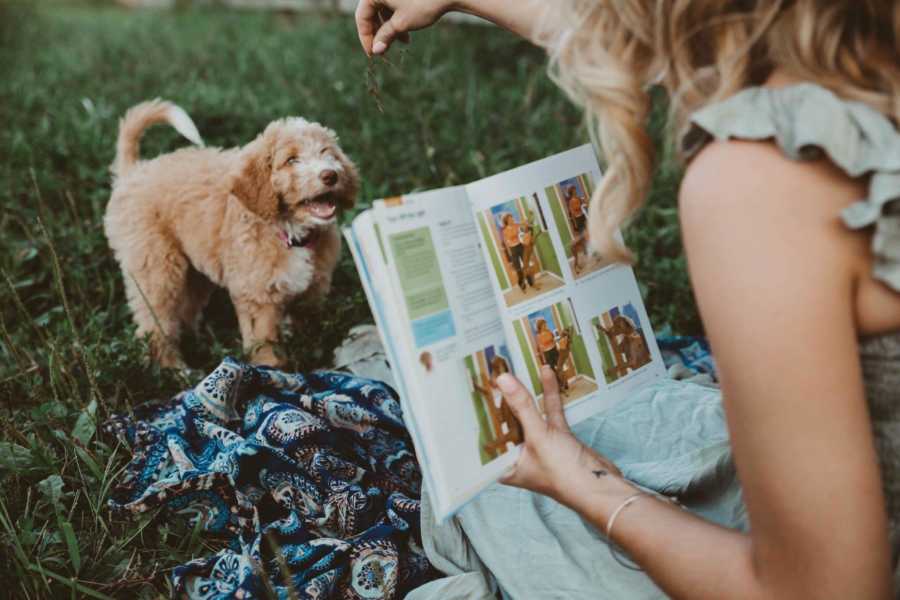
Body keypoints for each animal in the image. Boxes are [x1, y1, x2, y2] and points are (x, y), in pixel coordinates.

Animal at [105, 99, 358, 366]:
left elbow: (309, 332)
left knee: (185, 311)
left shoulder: (311, 292)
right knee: (155, 325)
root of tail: (133, 172)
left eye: (327, 153)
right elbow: (265, 344)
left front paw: (312, 361)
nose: (330, 175)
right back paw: (174, 368)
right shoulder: (258, 297)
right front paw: (270, 371)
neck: (290, 233)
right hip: (156, 269)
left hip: (195, 271)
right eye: (291, 160)